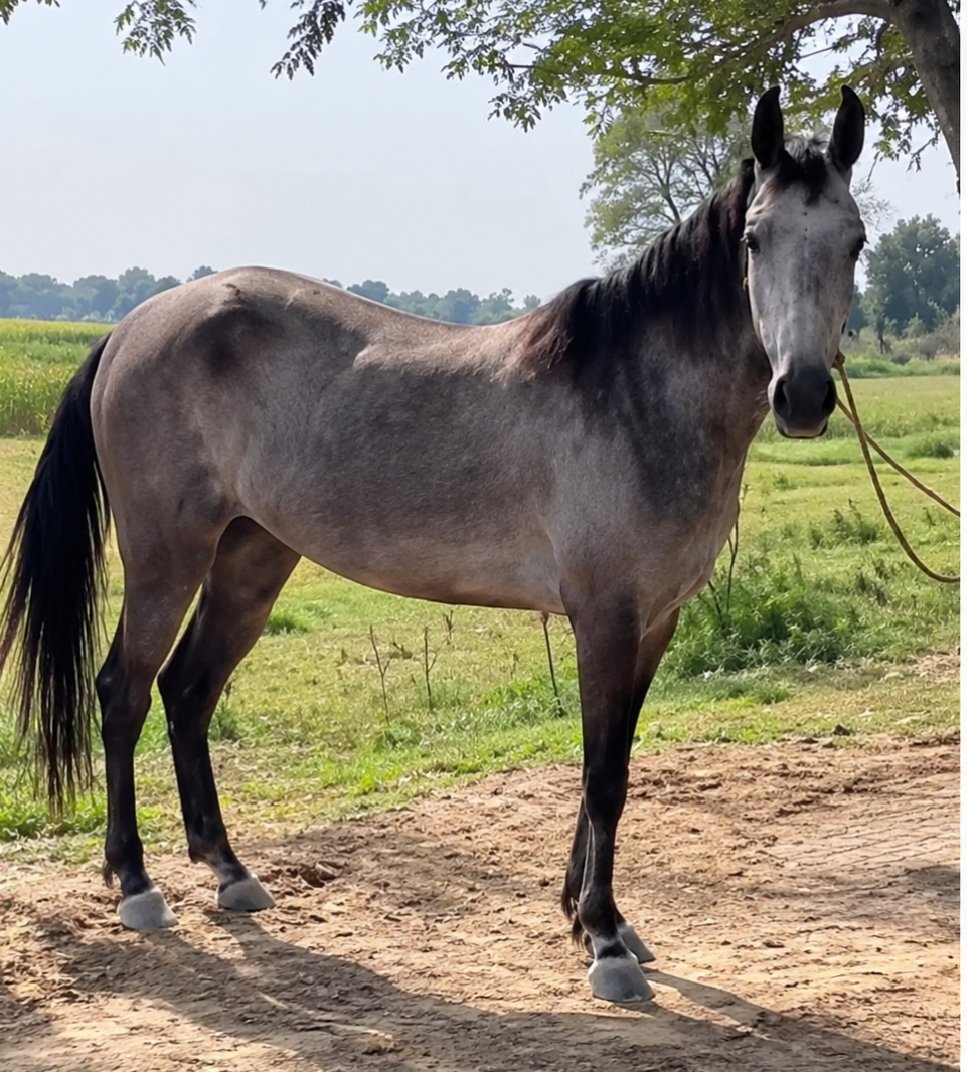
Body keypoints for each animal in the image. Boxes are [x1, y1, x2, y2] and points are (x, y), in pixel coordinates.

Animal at [0, 85, 866, 1004]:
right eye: (753, 239)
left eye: (853, 240)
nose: (802, 395)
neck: (632, 394)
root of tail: (132, 326)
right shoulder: (604, 617)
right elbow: (602, 775)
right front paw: (602, 942)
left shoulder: (652, 623)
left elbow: (612, 765)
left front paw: (592, 917)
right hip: (168, 555)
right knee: (124, 691)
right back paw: (135, 884)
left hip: (250, 558)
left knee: (188, 691)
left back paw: (229, 872)